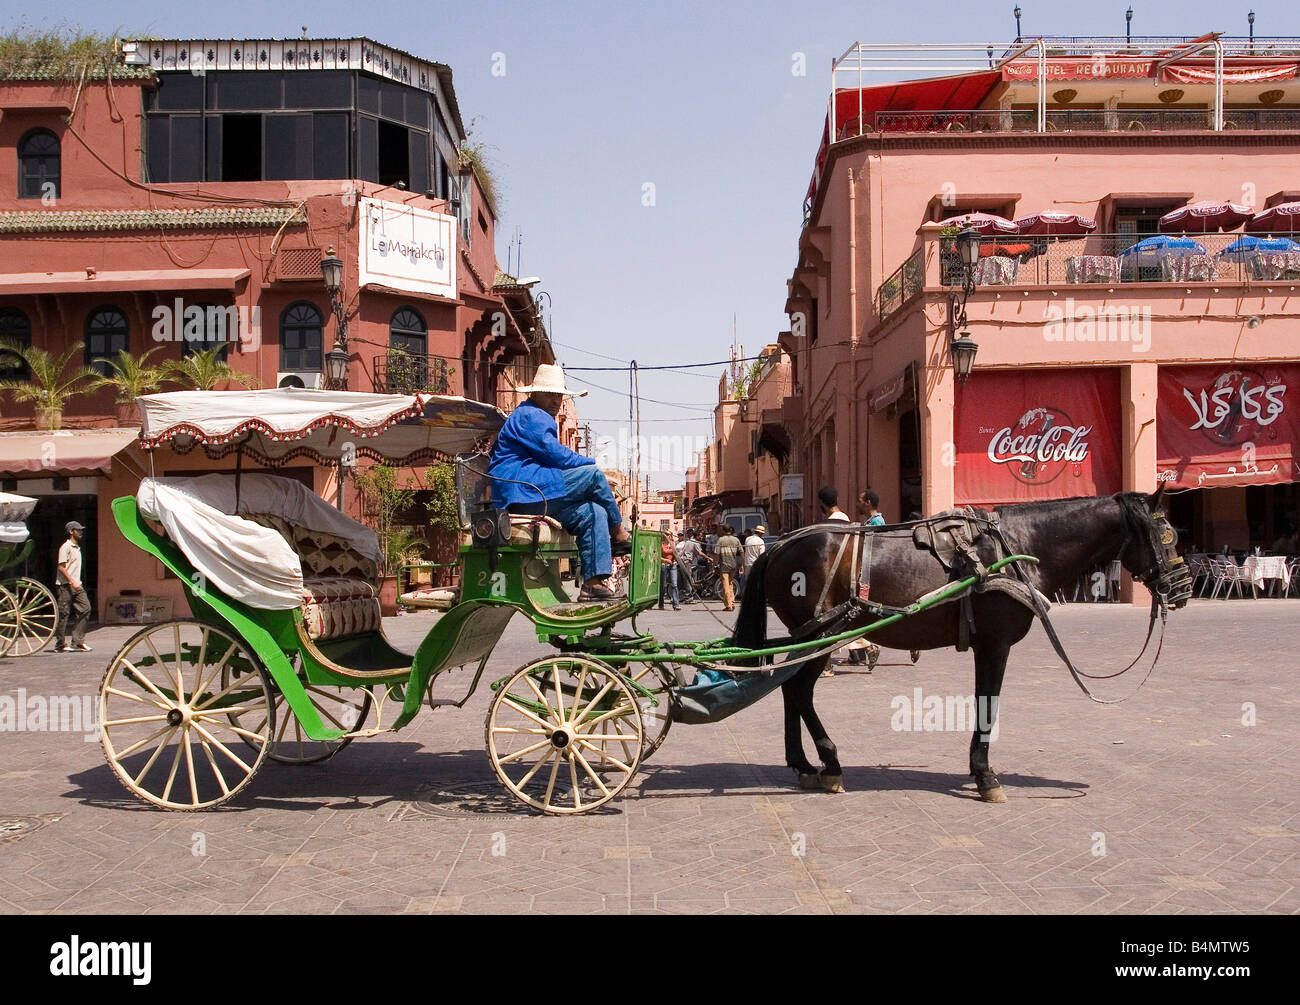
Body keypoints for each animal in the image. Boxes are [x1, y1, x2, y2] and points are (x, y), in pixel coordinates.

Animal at [729, 490, 1189, 803]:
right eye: (1167, 536)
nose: (1182, 589)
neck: (1017, 548)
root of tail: (780, 545)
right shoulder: (995, 642)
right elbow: (988, 702)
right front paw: (986, 777)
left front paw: (978, 770)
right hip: (819, 634)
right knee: (798, 690)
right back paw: (829, 764)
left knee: (791, 690)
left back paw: (804, 764)